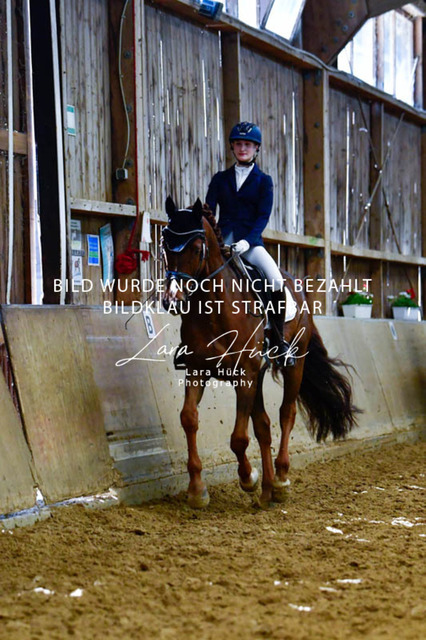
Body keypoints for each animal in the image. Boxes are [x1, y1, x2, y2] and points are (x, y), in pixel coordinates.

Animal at [161, 197, 358, 508]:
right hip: (258, 377)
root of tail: (298, 289)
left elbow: (239, 438)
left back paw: (280, 480)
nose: (172, 299)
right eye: (166, 244)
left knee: (286, 413)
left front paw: (248, 478)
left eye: (195, 247)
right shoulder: (198, 370)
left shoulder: (245, 375)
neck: (214, 309)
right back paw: (268, 492)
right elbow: (189, 418)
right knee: (264, 425)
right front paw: (197, 490)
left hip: (293, 366)